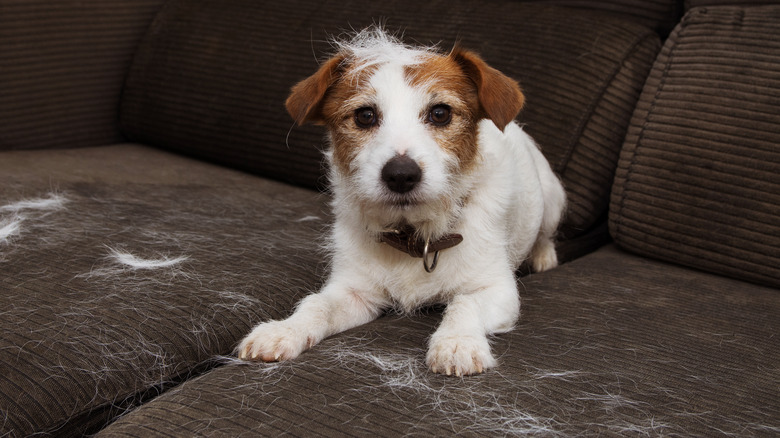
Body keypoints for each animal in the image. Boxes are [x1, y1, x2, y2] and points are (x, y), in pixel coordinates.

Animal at [238, 27, 568, 376]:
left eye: (440, 113)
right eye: (365, 115)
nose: (400, 175)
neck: (414, 235)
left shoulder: (496, 290)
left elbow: (465, 303)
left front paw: (457, 342)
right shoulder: (354, 292)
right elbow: (317, 304)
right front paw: (284, 330)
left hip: (552, 198)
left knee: (546, 233)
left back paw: (544, 257)